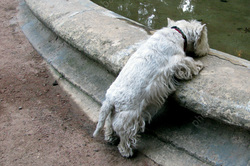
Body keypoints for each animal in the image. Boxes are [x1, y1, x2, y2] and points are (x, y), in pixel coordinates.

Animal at [93, 17, 208, 157]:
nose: (206, 50)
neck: (178, 33)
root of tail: (110, 100)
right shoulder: (177, 60)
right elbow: (188, 63)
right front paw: (198, 66)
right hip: (128, 117)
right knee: (125, 135)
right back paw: (127, 151)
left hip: (115, 113)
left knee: (109, 124)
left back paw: (110, 138)